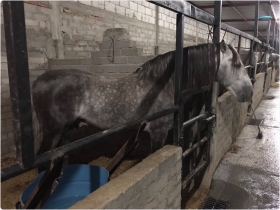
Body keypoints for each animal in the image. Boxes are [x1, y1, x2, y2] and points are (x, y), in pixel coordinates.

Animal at [33, 40, 254, 160]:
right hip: (52, 132)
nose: (249, 92)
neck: (164, 84)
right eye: (237, 64)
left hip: (66, 131)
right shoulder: (158, 132)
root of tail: (37, 82)